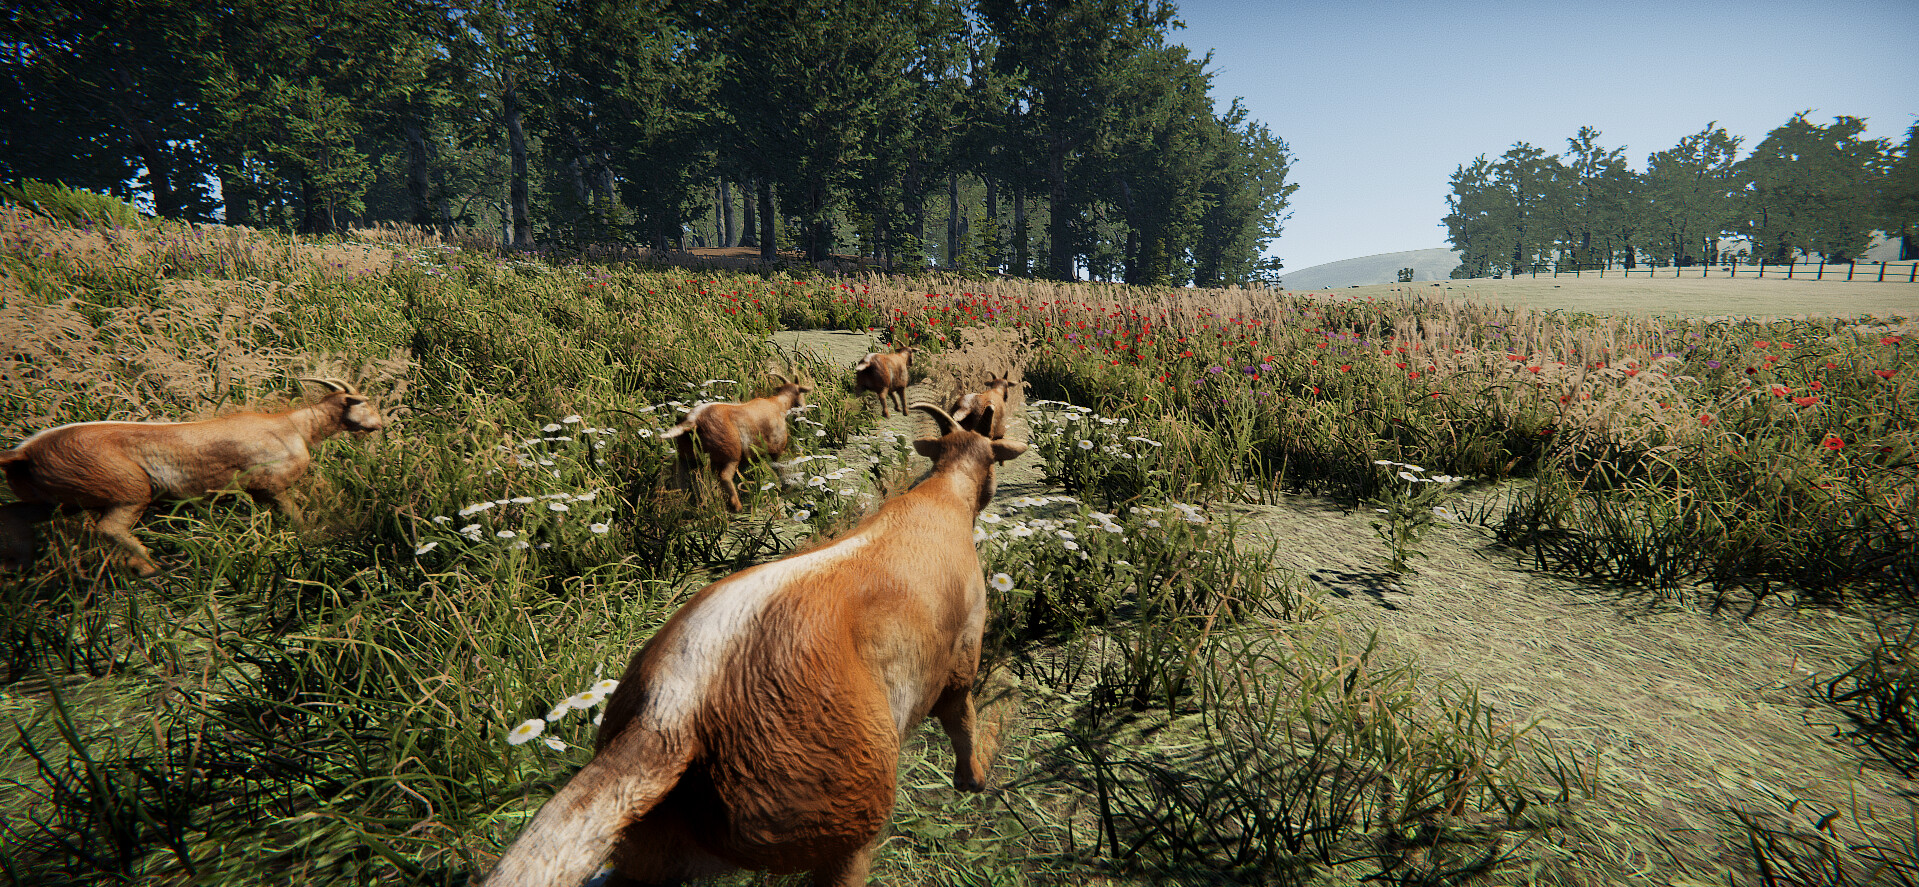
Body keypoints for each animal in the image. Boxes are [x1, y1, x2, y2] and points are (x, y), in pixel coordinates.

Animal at [0, 378, 386, 575]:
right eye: (364, 402)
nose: (380, 425)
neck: (295, 426)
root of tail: (23, 452)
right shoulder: (273, 486)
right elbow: (298, 519)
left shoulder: (260, 493)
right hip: (126, 490)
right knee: (109, 528)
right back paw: (149, 567)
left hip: (55, 498)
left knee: (15, 517)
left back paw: (18, 567)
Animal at [482, 403, 1025, 887]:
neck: (945, 494)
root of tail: (670, 713)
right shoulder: (965, 646)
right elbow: (961, 716)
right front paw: (973, 782)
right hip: (843, 806)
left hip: (651, 848)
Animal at [660, 374, 814, 512]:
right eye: (801, 393)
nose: (804, 409)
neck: (778, 404)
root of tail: (692, 421)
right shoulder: (776, 452)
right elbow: (779, 470)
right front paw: (785, 489)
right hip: (730, 455)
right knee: (724, 477)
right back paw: (737, 506)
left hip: (688, 456)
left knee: (677, 474)